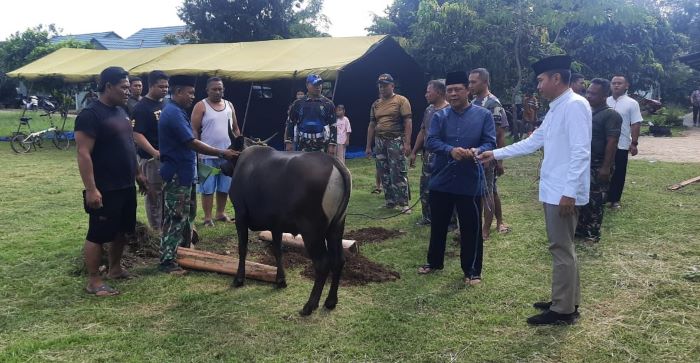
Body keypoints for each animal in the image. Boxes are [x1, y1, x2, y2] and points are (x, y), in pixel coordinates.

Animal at [221, 138, 352, 318]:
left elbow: (242, 249)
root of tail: (335, 163)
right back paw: (331, 301)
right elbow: (278, 250)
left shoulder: (240, 216)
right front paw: (280, 280)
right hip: (336, 227)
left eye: (229, 151)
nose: (222, 167)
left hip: (312, 230)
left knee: (322, 263)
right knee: (338, 260)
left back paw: (309, 306)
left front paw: (238, 279)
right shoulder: (275, 224)